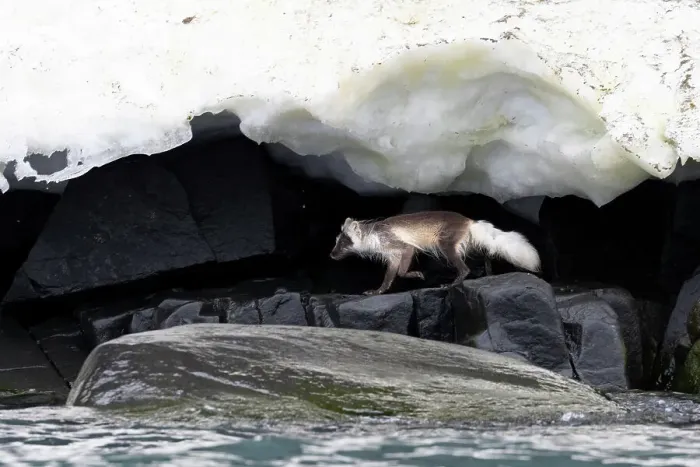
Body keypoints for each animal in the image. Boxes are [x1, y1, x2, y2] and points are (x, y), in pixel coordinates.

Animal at [329, 210, 541, 295]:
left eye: (345, 242)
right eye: (337, 241)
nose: (331, 254)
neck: (373, 234)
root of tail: (469, 221)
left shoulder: (403, 247)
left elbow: (401, 271)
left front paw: (416, 274)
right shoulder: (392, 255)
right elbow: (389, 277)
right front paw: (377, 291)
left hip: (446, 243)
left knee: (464, 268)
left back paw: (452, 283)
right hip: (467, 244)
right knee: (485, 253)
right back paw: (488, 272)